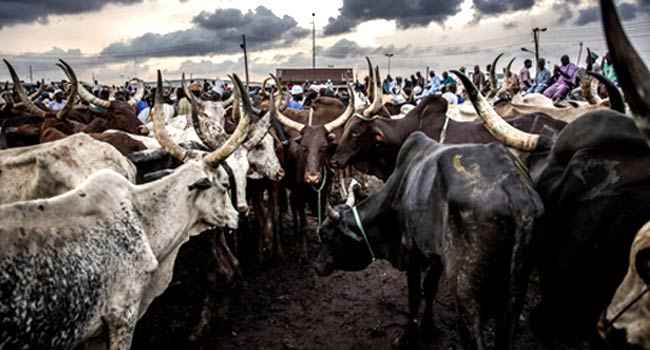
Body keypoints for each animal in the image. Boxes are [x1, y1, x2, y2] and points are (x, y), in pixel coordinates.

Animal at [314, 131, 540, 350]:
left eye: (325, 235)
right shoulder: (436, 256)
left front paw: (408, 337)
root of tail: (518, 197)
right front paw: (429, 328)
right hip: (515, 294)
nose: (317, 267)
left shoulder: (411, 252)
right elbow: (430, 289)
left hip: (466, 290)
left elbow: (415, 296)